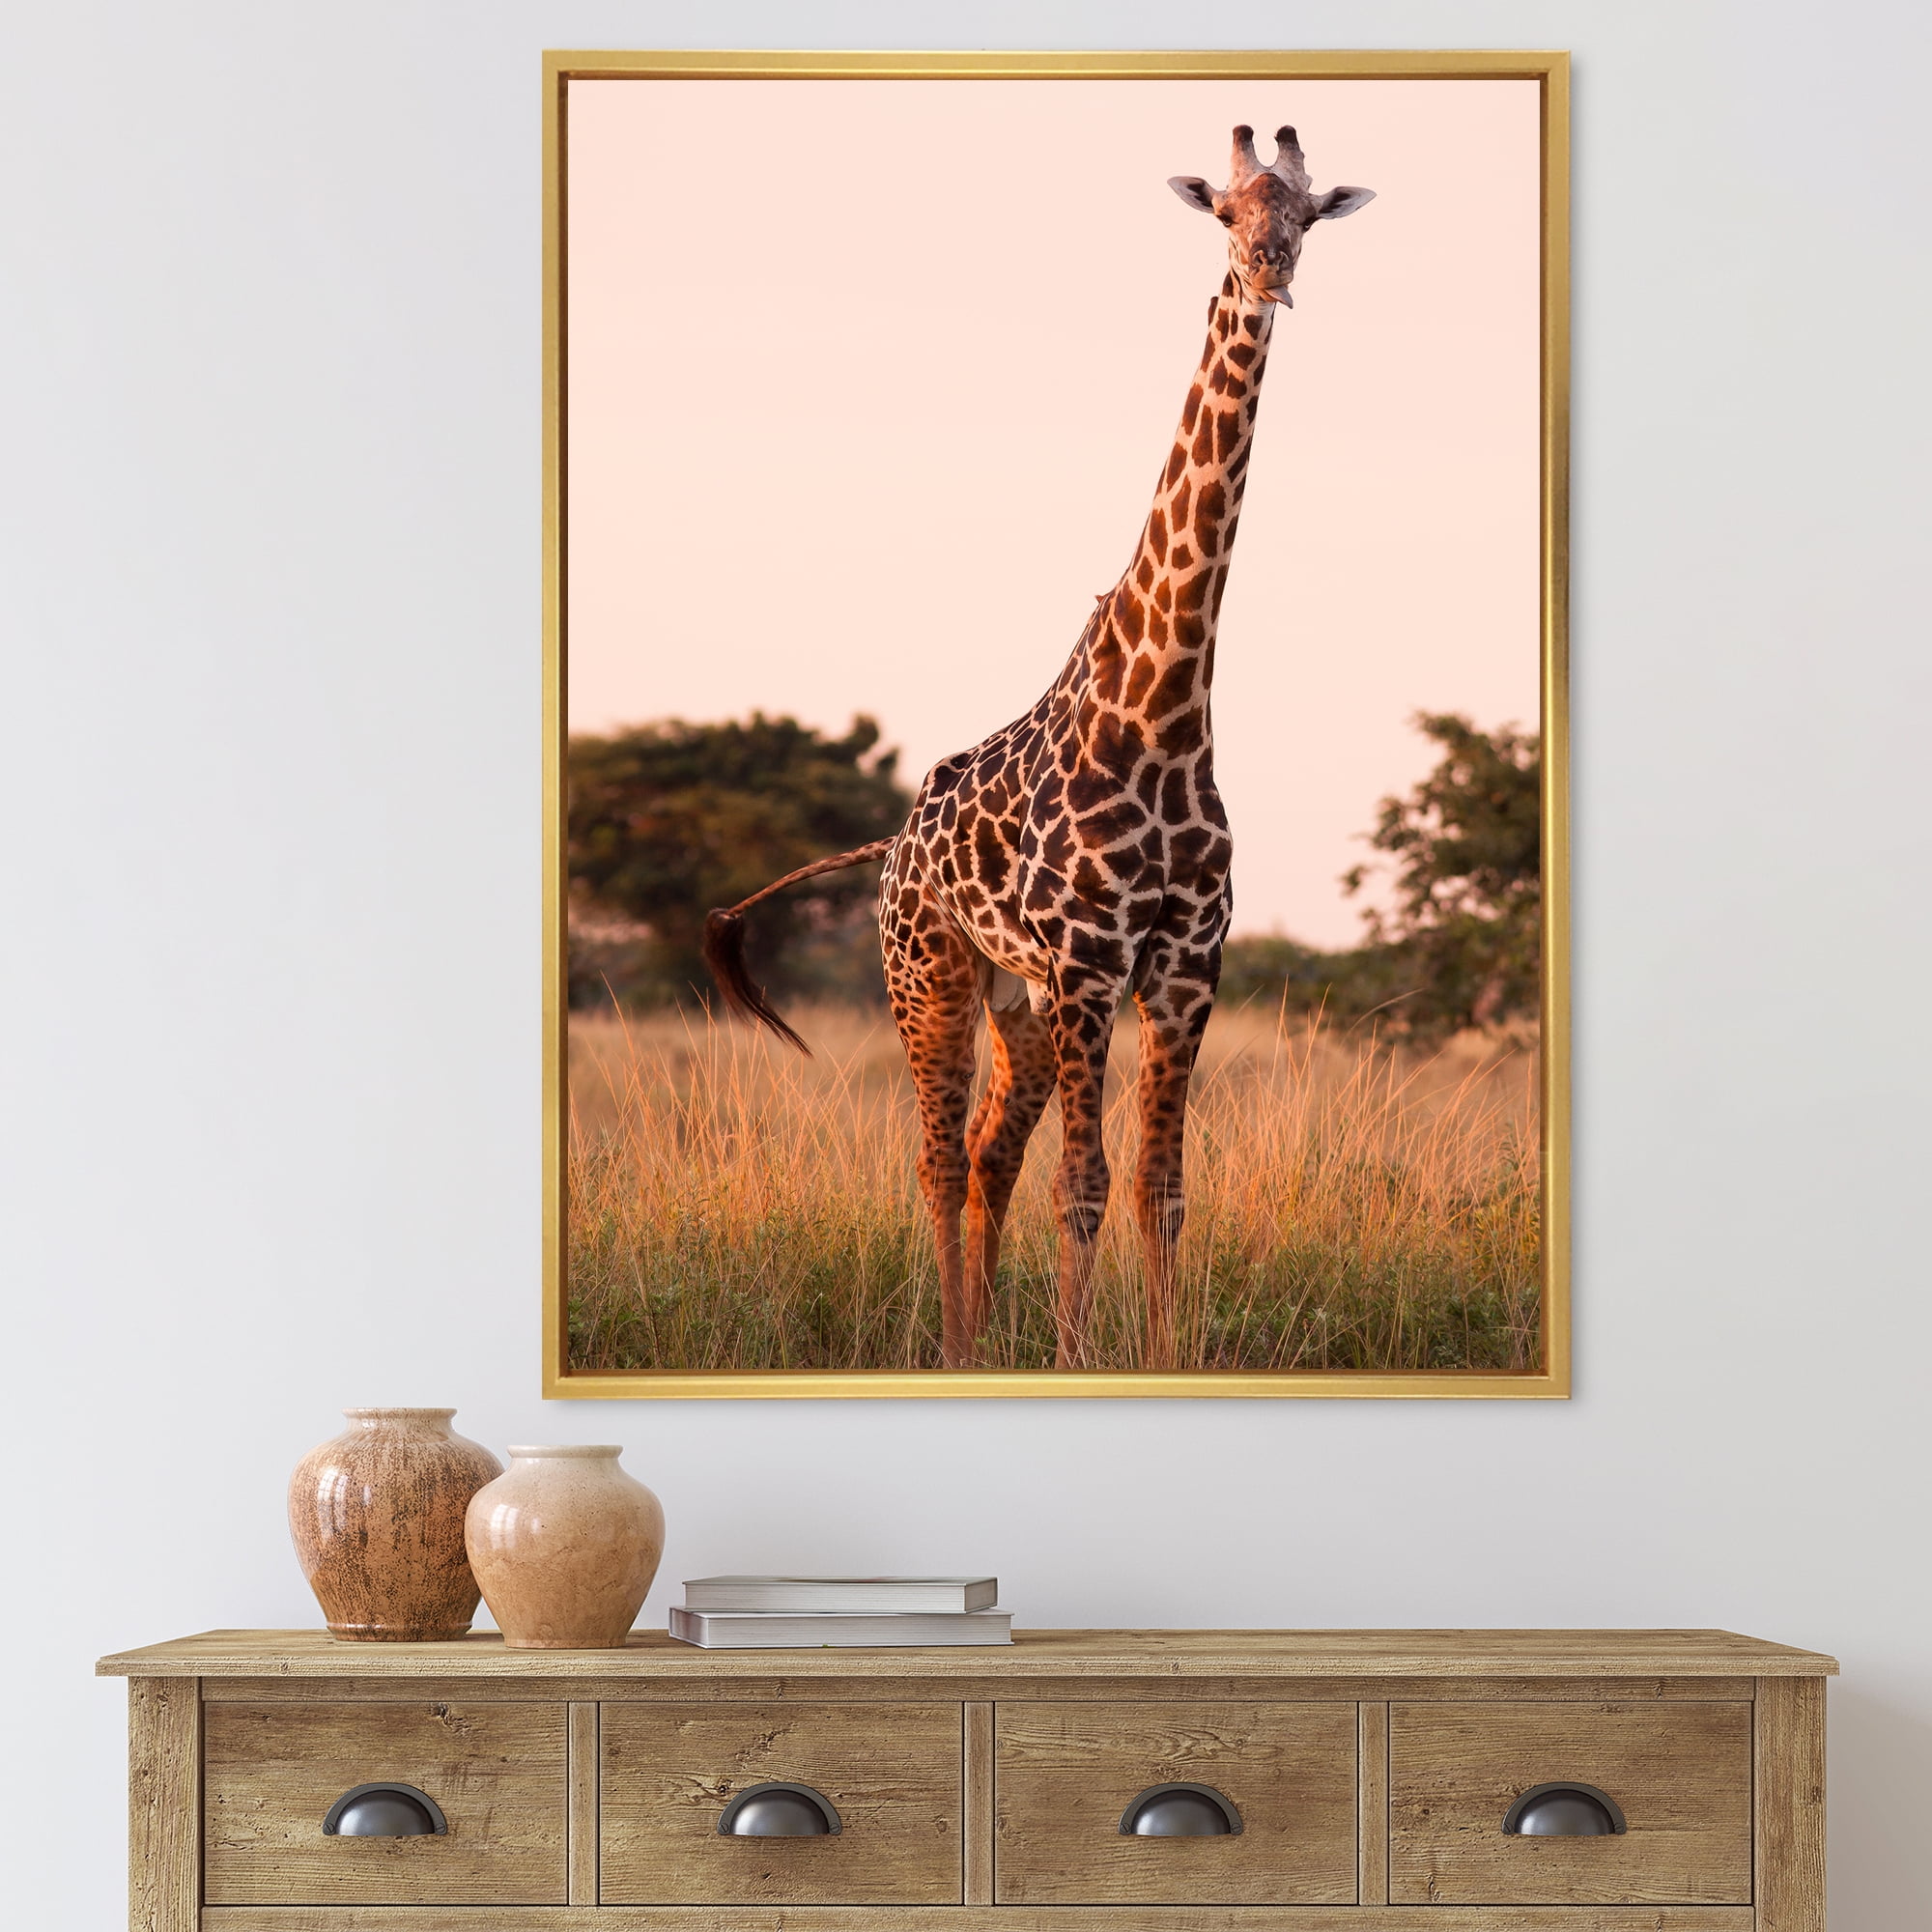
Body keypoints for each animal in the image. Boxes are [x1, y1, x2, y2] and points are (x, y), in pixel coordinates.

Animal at [705, 125, 1373, 1370]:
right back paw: (953, 1345)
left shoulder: (1182, 968)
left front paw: (1163, 1354)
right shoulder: (1088, 965)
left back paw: (973, 1339)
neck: (1163, 713)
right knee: (934, 1158)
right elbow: (1086, 1182)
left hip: (1013, 1003)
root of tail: (890, 847)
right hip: (929, 975)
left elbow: (1160, 1185)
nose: (1268, 271)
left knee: (984, 1155)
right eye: (1225, 214)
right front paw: (1073, 1356)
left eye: (1306, 214)